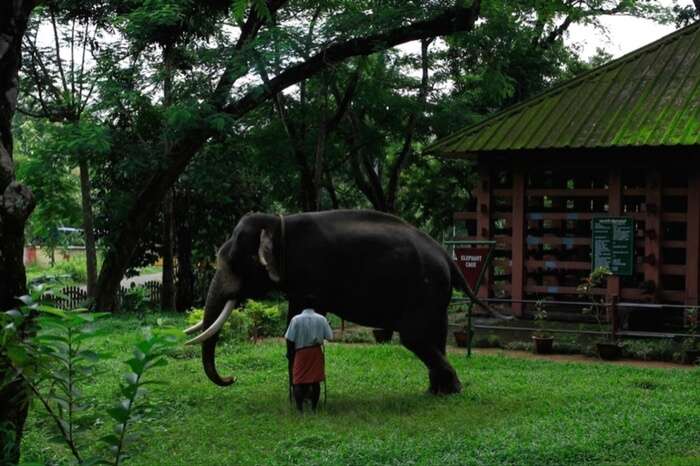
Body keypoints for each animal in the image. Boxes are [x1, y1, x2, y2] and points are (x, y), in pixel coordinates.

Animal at [185, 209, 504, 396]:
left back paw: (451, 389)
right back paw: (440, 392)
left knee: (413, 337)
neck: (279, 223)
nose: (232, 378)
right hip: (436, 292)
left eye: (237, 262)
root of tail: (448, 258)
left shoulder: (310, 274)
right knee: (435, 334)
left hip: (424, 287)